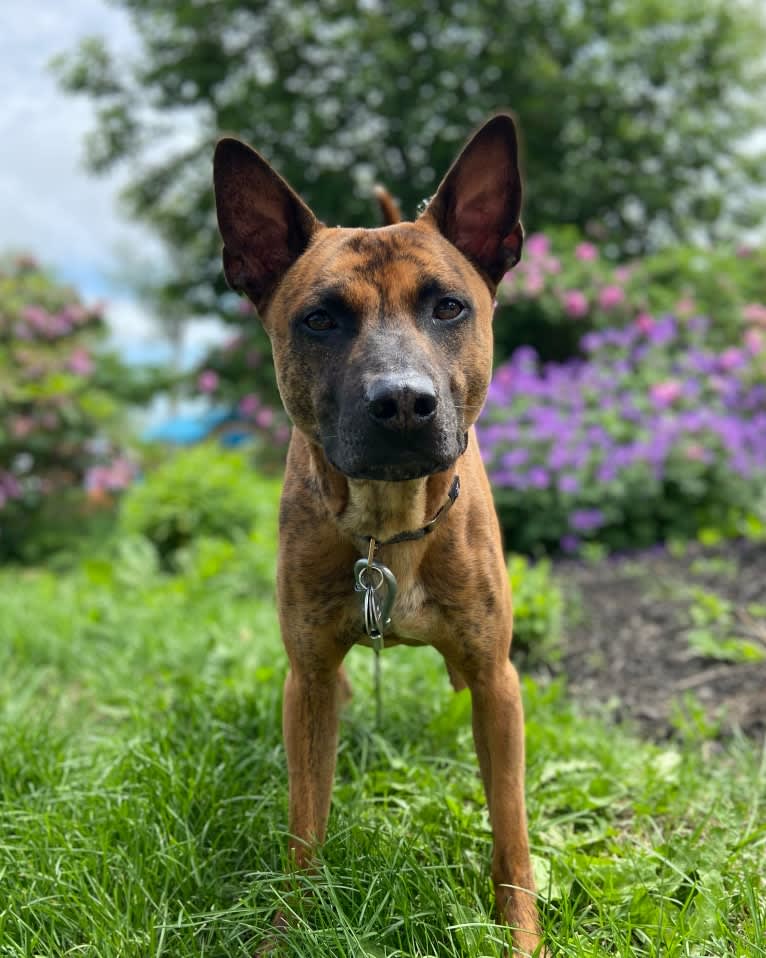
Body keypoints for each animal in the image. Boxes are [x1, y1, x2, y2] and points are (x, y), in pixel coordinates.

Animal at [212, 116, 544, 956]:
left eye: (448, 307)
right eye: (320, 318)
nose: (401, 402)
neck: (386, 531)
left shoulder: (498, 683)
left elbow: (511, 827)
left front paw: (520, 932)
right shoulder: (307, 682)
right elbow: (304, 822)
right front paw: (290, 926)